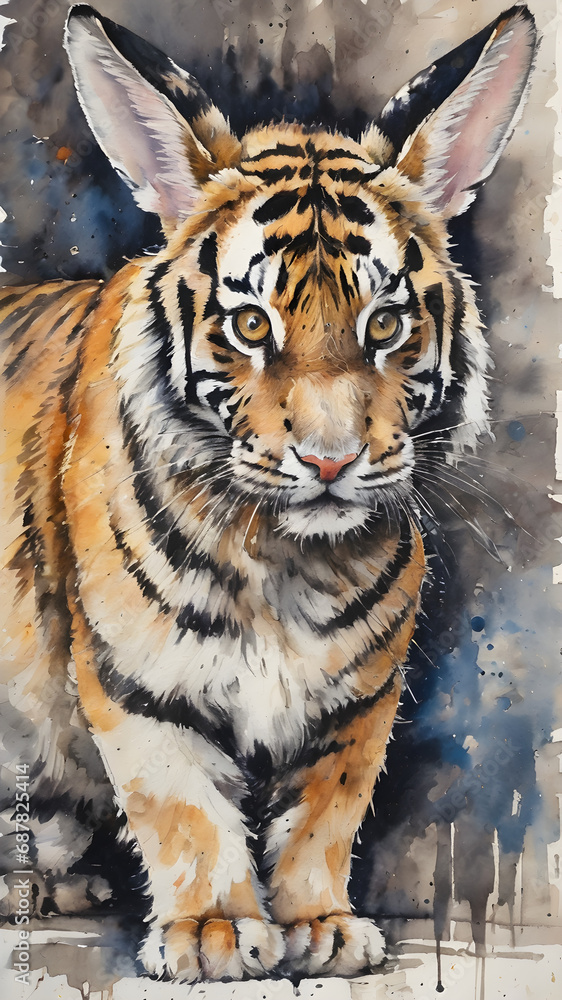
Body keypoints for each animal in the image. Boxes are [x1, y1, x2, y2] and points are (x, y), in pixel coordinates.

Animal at [0, 2, 536, 984]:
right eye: (252, 325)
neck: (288, 557)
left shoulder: (359, 694)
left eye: (386, 324)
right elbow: (182, 803)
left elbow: (325, 812)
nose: (329, 461)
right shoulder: (139, 680)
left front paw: (320, 924)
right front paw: (212, 931)